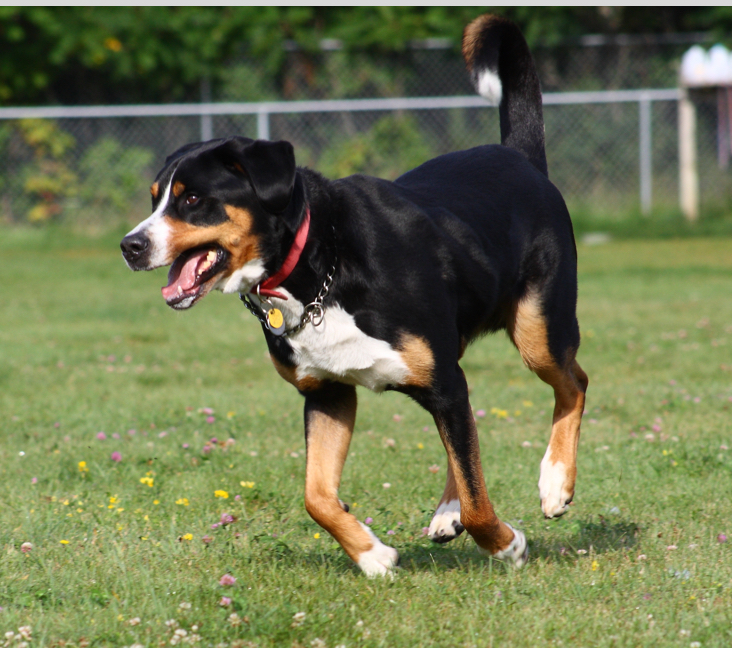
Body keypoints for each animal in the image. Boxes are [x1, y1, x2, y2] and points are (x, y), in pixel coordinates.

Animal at [120, 12, 588, 576]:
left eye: (191, 199)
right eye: (155, 198)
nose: (130, 246)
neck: (321, 264)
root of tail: (521, 158)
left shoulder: (439, 382)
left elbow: (479, 496)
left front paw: (505, 545)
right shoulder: (328, 393)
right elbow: (316, 496)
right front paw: (372, 555)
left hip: (536, 329)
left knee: (573, 383)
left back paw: (554, 482)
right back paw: (447, 511)